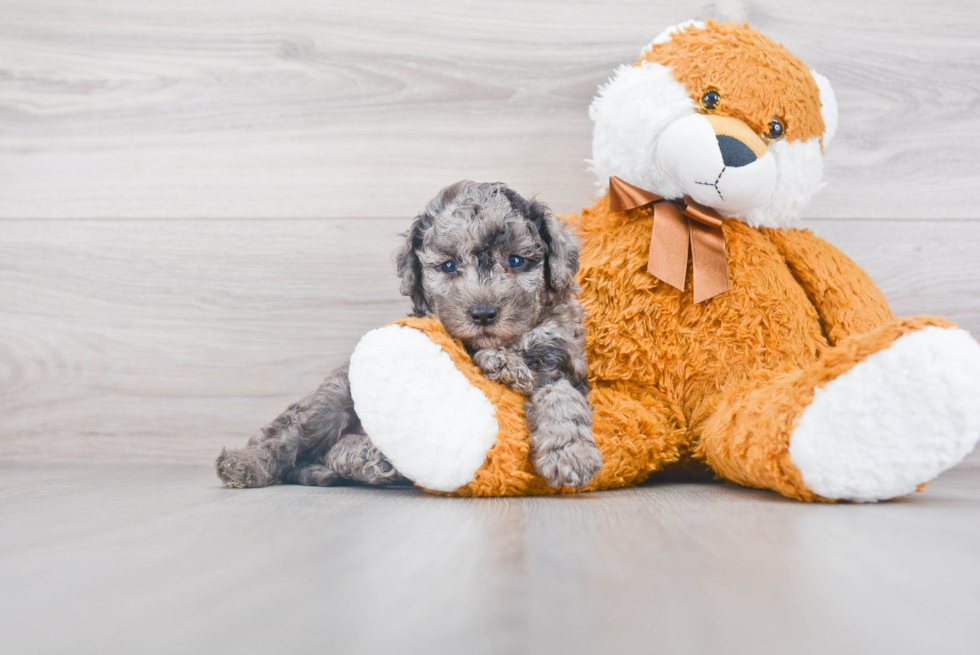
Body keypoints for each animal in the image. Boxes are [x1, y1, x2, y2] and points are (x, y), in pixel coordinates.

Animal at [217, 182, 600, 490]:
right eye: (448, 266)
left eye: (517, 261)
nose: (483, 313)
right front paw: (504, 364)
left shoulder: (561, 360)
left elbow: (561, 398)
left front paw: (570, 453)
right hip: (336, 395)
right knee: (291, 432)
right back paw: (246, 463)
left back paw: (372, 461)